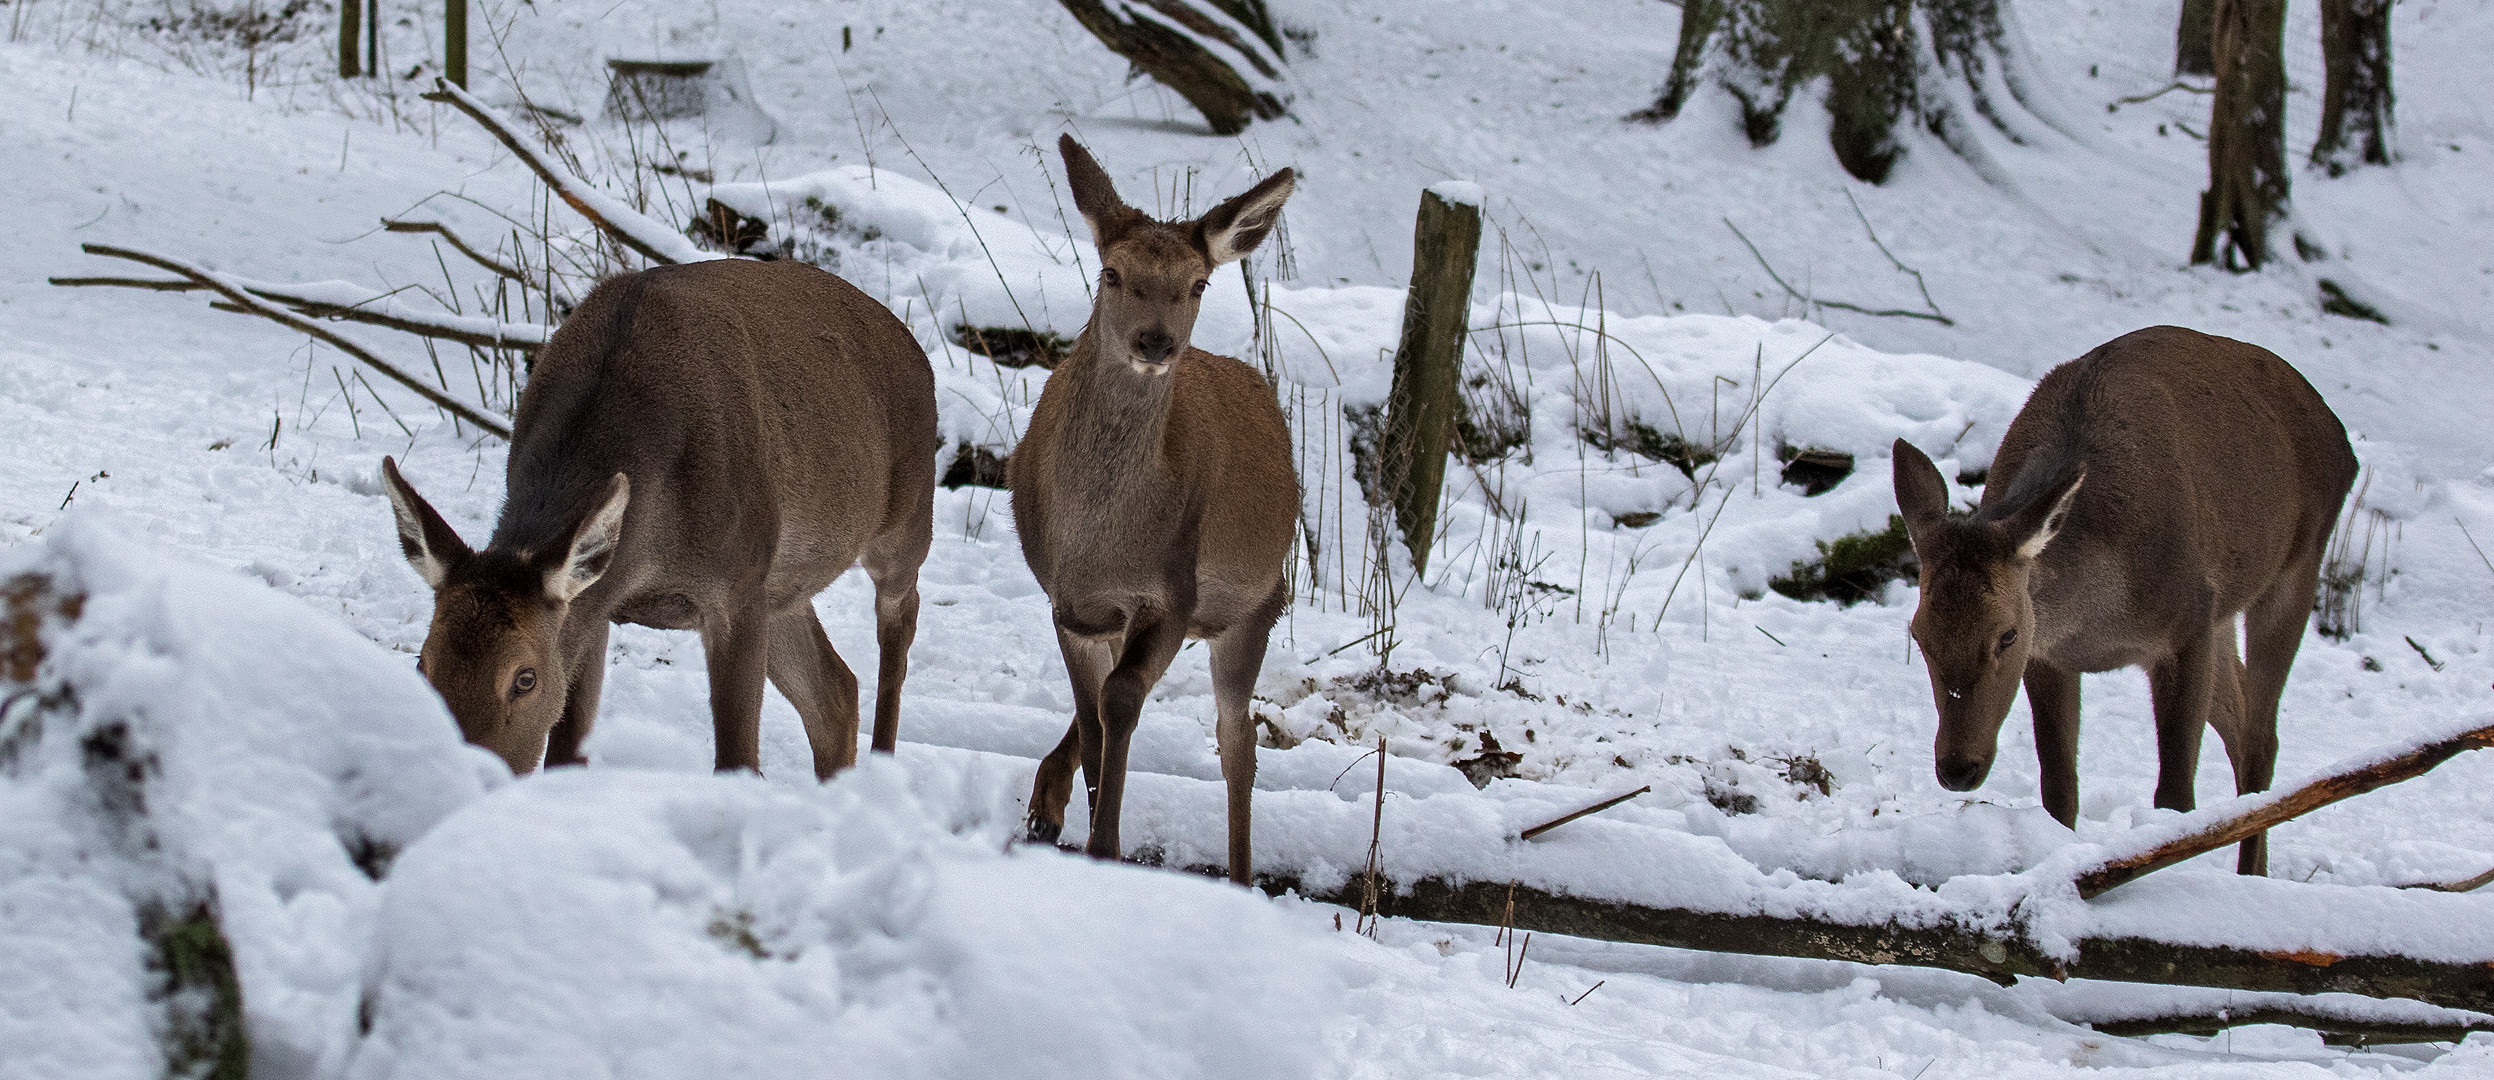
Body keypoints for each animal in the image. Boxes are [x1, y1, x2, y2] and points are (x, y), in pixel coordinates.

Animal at [379, 256, 937, 778]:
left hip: (904, 518)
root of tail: (912, 344)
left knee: (900, 613)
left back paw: (883, 765)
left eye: (525, 678)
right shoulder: (598, 600)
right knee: (836, 693)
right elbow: (566, 754)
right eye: (421, 663)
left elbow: (737, 762)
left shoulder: (737, 588)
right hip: (783, 585)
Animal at [1007, 134, 1296, 877]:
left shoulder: (1174, 592)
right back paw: (1047, 802)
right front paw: (1082, 827)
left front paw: (1105, 847)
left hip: (1258, 604)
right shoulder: (1071, 606)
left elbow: (1121, 700)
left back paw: (1242, 876)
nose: (1157, 342)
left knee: (1237, 739)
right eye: (1111, 272)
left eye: (1198, 284)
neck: (1101, 541)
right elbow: (1093, 713)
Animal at [1885, 324, 2354, 872]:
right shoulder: (2050, 654)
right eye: (1919, 635)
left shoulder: (2187, 622)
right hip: (2222, 614)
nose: (1957, 767)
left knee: (2262, 739)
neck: (2099, 616)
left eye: (2007, 635)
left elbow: (2175, 799)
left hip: (2296, 566)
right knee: (2241, 725)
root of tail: (2340, 435)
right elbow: (2058, 789)